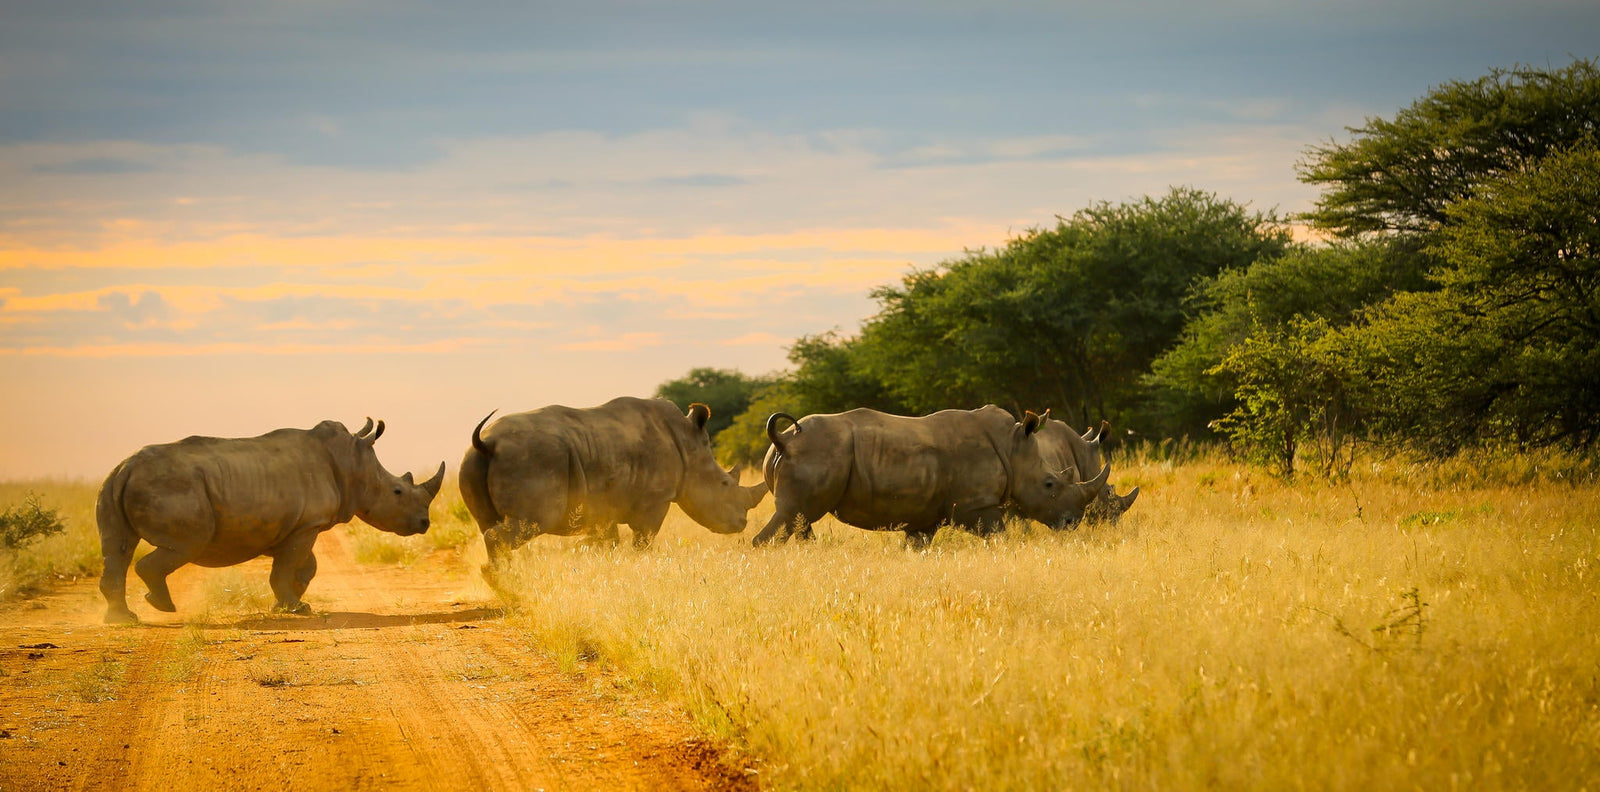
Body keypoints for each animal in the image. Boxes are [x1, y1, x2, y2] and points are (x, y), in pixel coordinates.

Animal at [95, 418, 445, 624]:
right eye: (398, 491)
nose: (424, 523)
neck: (354, 464)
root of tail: (125, 466)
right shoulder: (307, 524)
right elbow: (290, 565)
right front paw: (296, 607)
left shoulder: (294, 525)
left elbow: (304, 565)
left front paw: (292, 602)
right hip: (172, 486)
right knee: (187, 544)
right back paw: (162, 606)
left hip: (114, 484)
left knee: (118, 549)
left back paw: (122, 619)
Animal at [459, 397, 768, 563]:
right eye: (725, 485)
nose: (741, 523)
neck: (688, 446)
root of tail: (489, 442)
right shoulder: (655, 498)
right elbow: (643, 538)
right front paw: (638, 560)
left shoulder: (602, 504)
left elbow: (608, 540)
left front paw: (592, 553)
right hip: (534, 459)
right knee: (533, 521)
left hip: (472, 461)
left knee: (487, 523)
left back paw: (506, 577)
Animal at [752, 406, 1110, 549]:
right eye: (1050, 484)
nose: (1071, 523)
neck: (1013, 448)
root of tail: (782, 439)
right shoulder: (978, 506)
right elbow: (998, 535)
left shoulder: (923, 517)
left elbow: (916, 544)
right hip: (814, 453)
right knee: (791, 517)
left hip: (805, 455)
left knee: (799, 520)